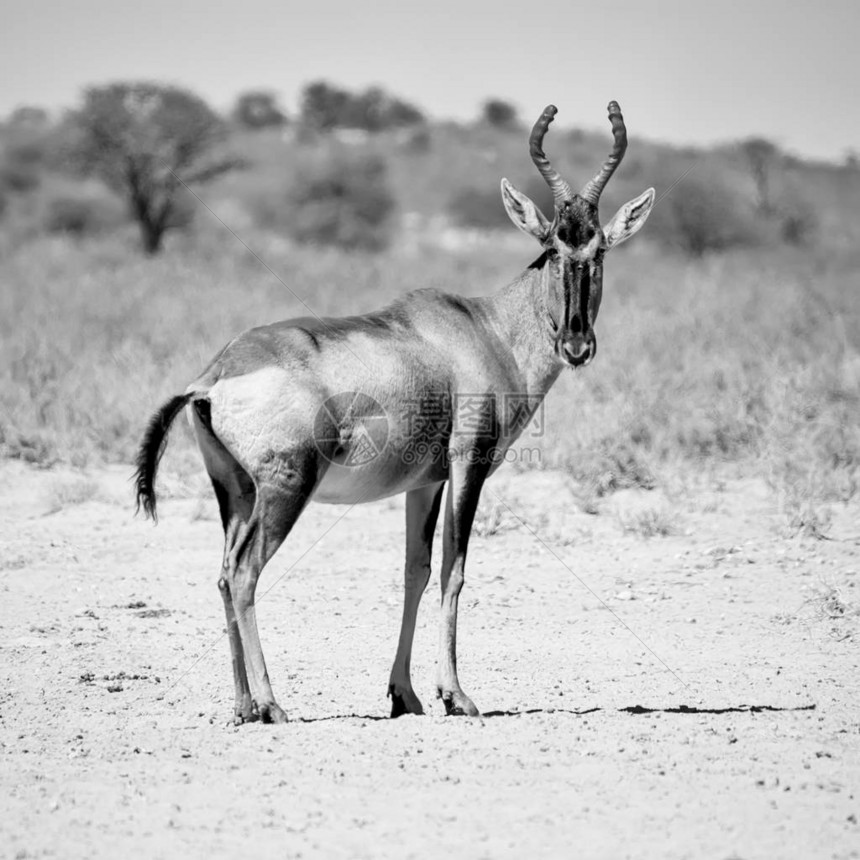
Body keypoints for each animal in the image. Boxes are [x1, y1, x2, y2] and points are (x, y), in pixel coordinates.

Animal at [138, 101, 656, 724]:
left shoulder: (424, 482)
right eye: (555, 246)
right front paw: (457, 695)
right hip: (286, 488)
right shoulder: (467, 464)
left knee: (221, 575)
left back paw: (242, 706)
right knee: (243, 574)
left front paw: (405, 695)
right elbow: (455, 570)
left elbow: (416, 570)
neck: (485, 328)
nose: (577, 345)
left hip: (235, 490)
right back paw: (271, 705)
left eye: (598, 248)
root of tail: (214, 376)